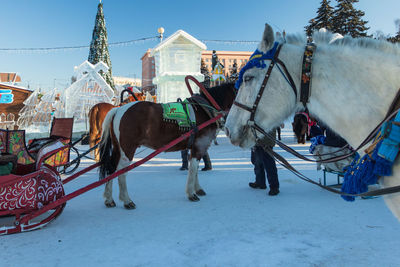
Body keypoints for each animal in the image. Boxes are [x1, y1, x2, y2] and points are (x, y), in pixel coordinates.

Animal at [98, 82, 236, 208]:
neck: (204, 109)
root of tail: (118, 109)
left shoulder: (196, 147)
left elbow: (195, 168)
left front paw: (197, 189)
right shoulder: (199, 146)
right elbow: (193, 169)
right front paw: (191, 193)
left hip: (118, 148)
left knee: (111, 168)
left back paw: (109, 199)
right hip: (127, 149)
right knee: (121, 172)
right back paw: (127, 200)